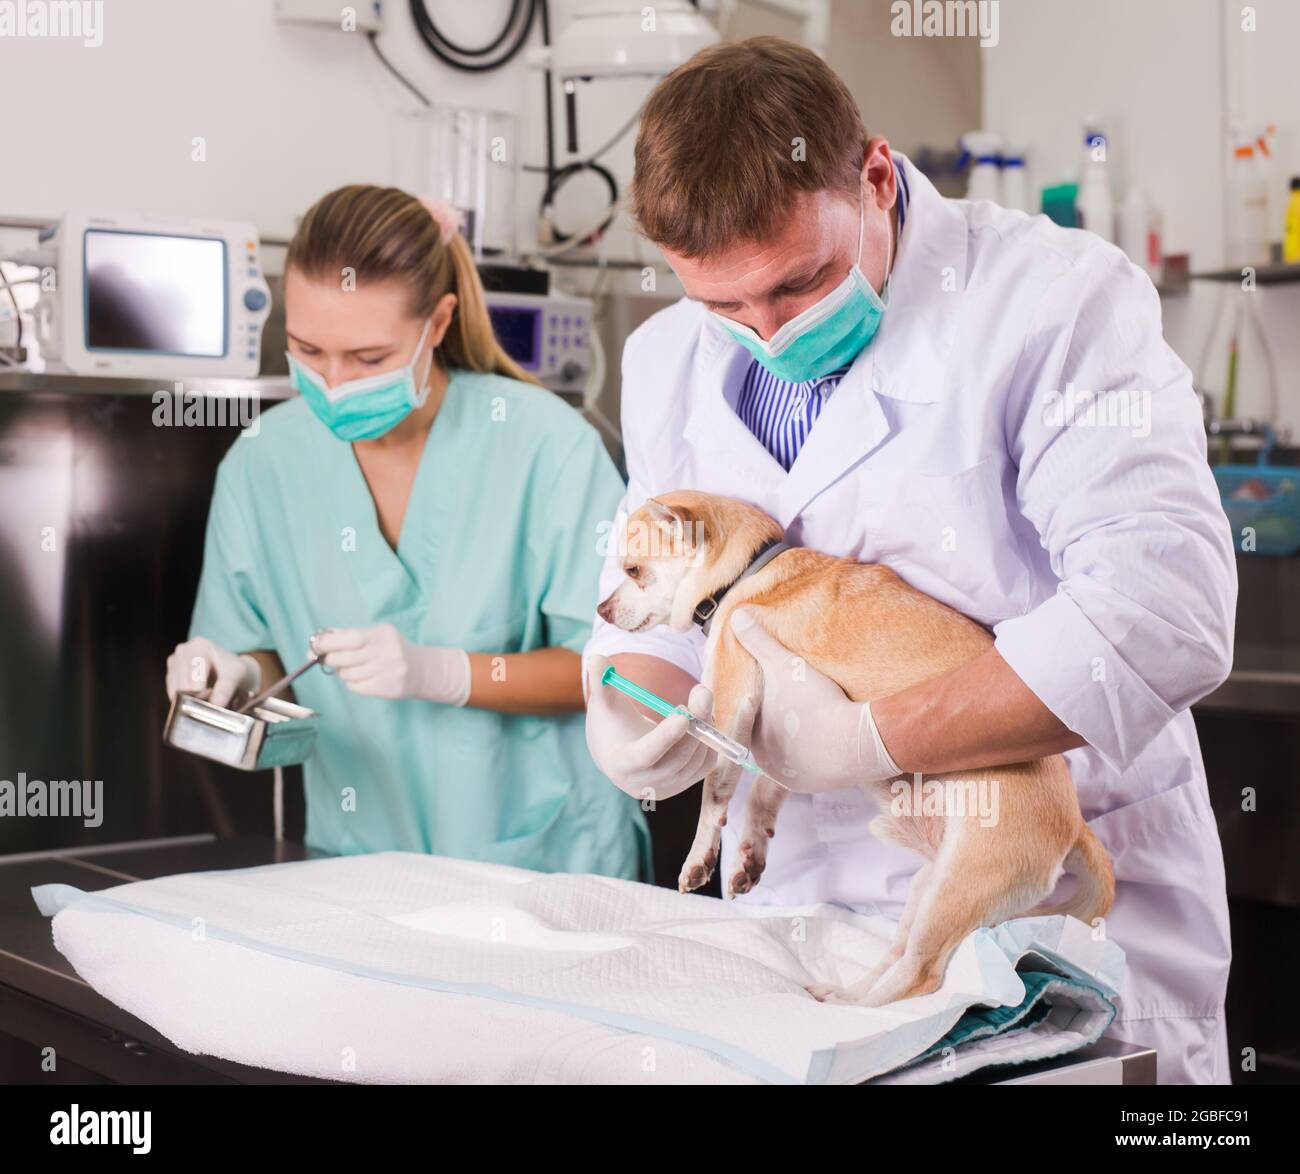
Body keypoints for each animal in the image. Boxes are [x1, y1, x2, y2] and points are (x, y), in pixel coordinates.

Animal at [598, 491, 1118, 1003]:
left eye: (633, 570)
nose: (601, 609)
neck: (748, 573)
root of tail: (1076, 826)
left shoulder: (731, 701)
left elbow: (715, 795)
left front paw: (697, 860)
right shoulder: (782, 743)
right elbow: (766, 795)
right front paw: (750, 852)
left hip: (960, 885)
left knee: (922, 974)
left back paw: (866, 1010)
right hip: (930, 886)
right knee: (896, 956)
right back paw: (845, 993)